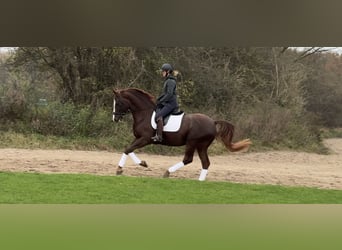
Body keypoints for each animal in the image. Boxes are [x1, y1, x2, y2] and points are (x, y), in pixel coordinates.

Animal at [113, 87, 251, 181]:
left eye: (118, 103)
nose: (115, 119)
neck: (144, 113)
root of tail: (213, 122)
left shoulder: (145, 139)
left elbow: (128, 149)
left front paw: (119, 169)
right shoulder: (138, 138)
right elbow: (129, 149)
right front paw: (142, 163)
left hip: (192, 142)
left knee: (188, 159)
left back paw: (167, 172)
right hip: (202, 146)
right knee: (205, 162)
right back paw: (200, 181)